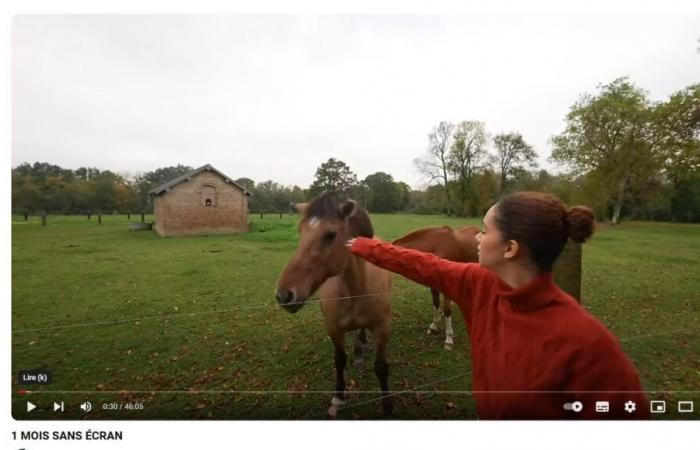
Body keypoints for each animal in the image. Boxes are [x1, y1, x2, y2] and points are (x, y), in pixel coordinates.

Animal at [274, 191, 394, 418]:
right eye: (300, 232)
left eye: (330, 234)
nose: (284, 295)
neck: (354, 289)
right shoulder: (333, 328)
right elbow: (339, 359)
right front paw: (339, 396)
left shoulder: (382, 328)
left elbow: (381, 366)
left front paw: (387, 405)